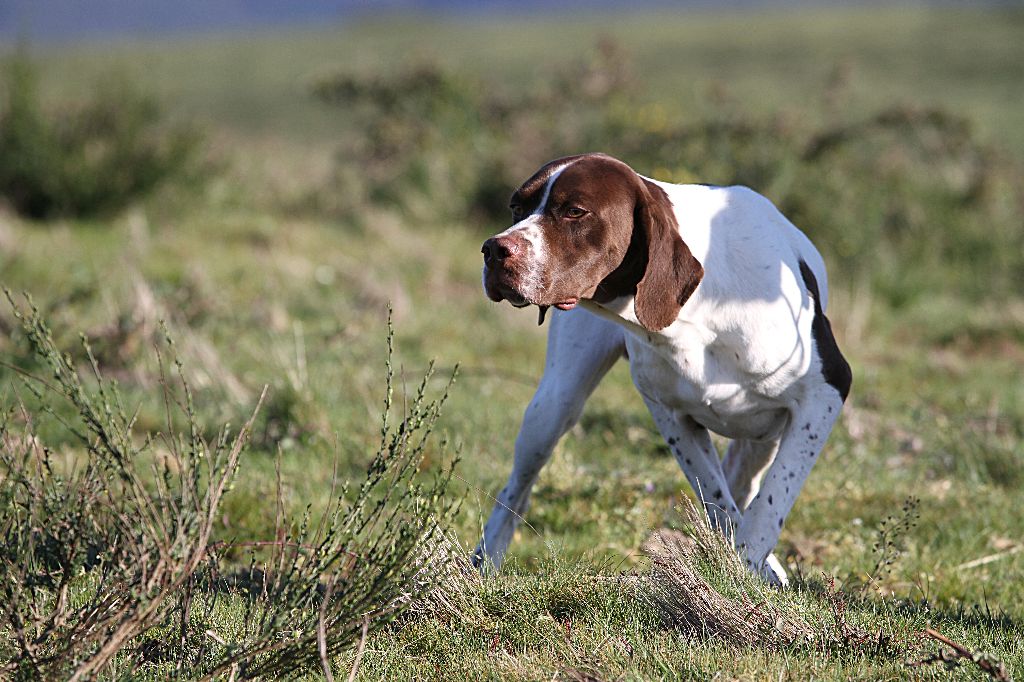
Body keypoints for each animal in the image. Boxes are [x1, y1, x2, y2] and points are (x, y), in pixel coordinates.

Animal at [473, 151, 847, 581]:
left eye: (574, 211)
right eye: (516, 208)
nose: (493, 250)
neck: (700, 312)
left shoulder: (825, 394)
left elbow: (768, 504)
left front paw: (749, 565)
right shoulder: (671, 415)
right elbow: (718, 499)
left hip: (762, 438)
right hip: (552, 408)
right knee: (514, 491)